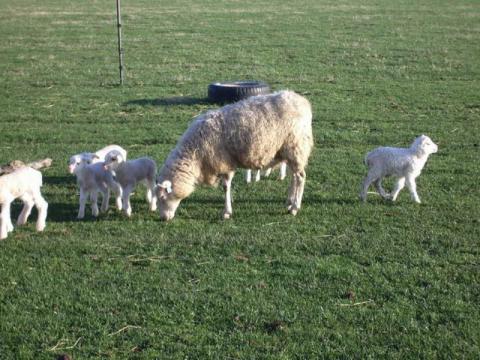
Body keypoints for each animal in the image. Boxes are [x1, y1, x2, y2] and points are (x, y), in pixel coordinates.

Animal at [157, 90, 316, 219]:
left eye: (163, 197)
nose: (163, 218)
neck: (195, 154)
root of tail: (303, 102)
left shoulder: (224, 161)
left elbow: (225, 186)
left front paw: (226, 212)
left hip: (296, 146)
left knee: (300, 177)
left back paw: (295, 207)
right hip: (289, 151)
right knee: (294, 176)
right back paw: (289, 202)